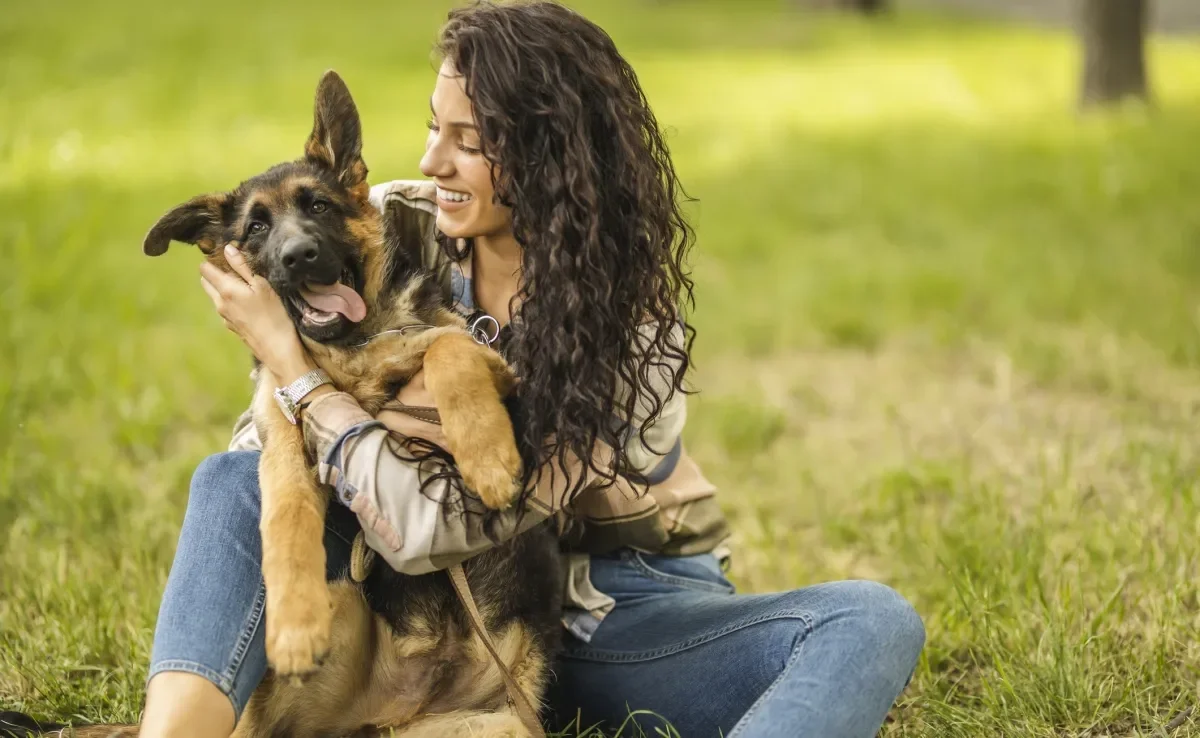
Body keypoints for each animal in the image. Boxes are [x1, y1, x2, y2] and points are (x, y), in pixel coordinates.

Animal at [1, 70, 561, 738]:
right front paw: (294, 629)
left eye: (318, 206)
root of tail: (393, 706)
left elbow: (448, 350)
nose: (298, 256)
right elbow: (286, 523)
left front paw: (490, 462)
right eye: (256, 230)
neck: (347, 353)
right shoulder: (285, 438)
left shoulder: (487, 360)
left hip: (498, 723)